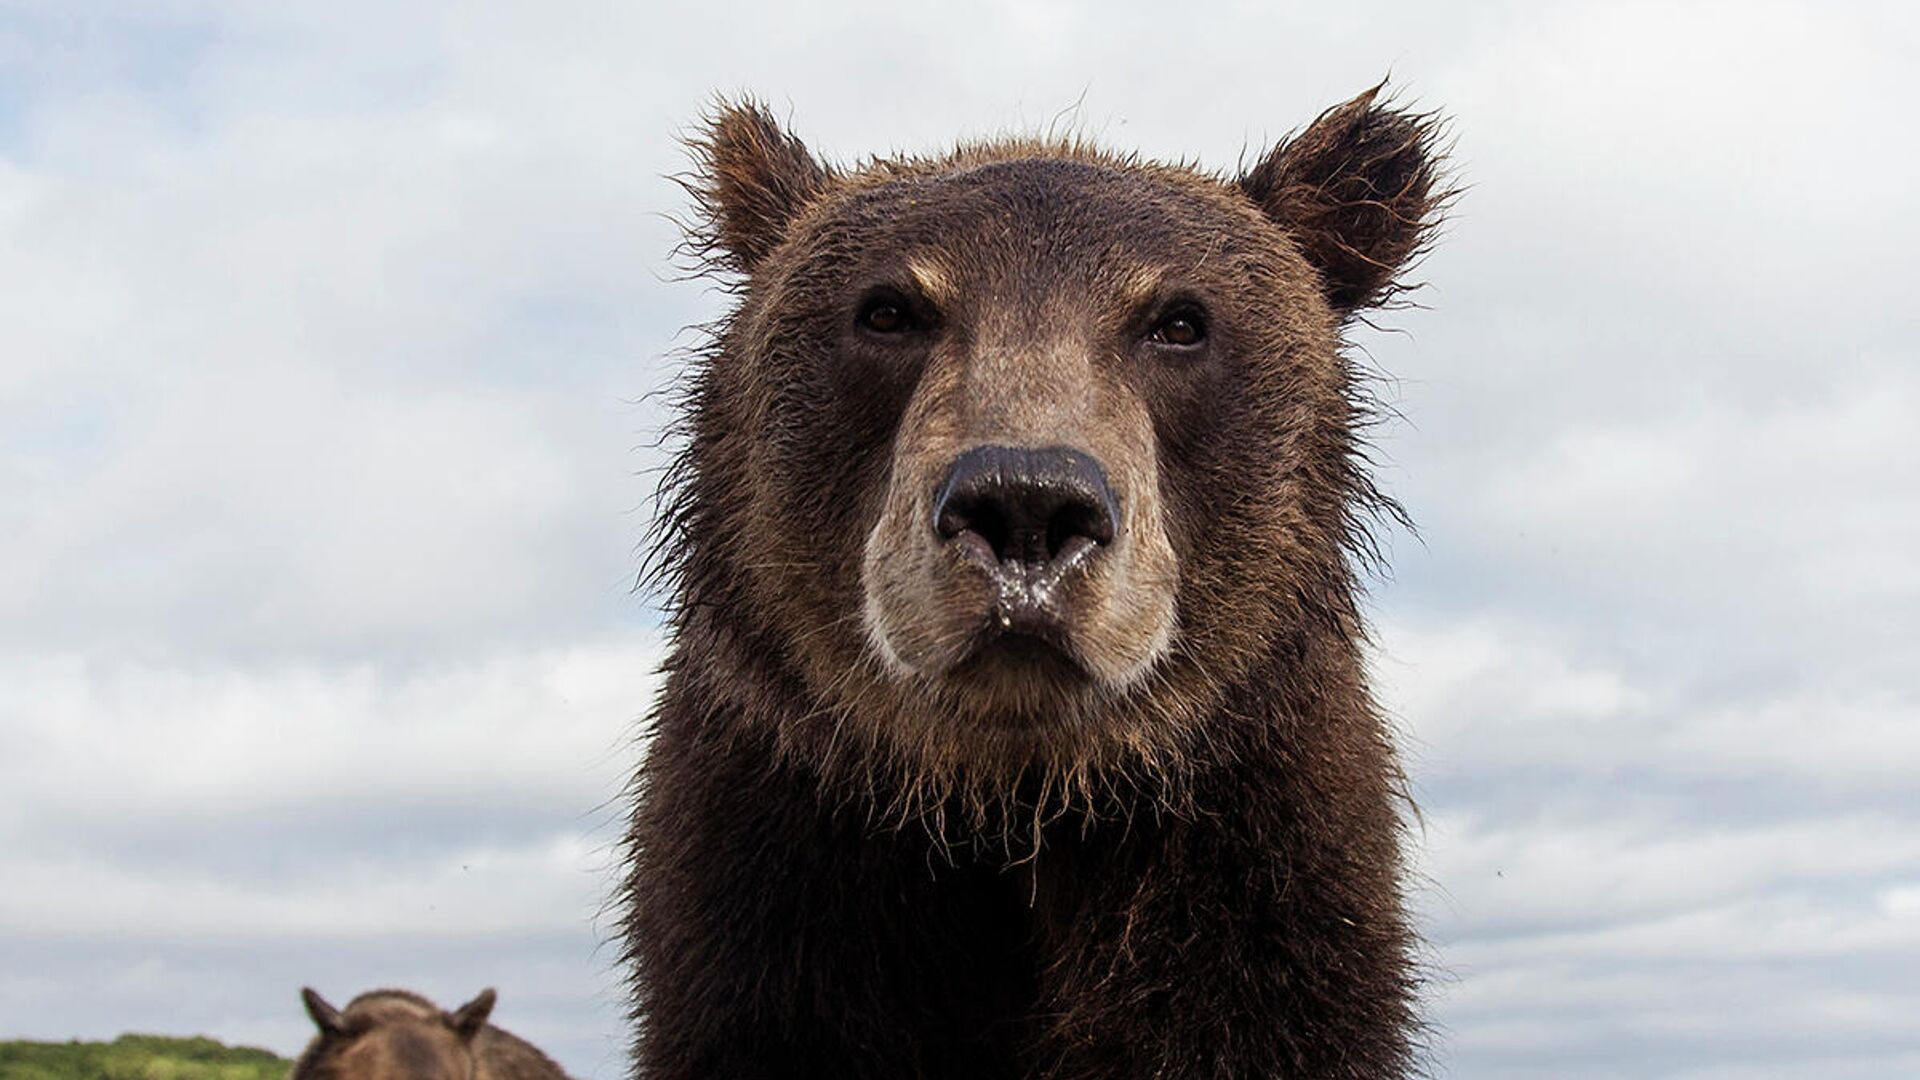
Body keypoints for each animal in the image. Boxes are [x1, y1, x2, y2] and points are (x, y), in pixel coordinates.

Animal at [622, 85, 1443, 1076]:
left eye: (1179, 320)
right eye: (888, 310)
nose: (1025, 506)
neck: (1019, 803)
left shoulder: (1261, 882)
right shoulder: (773, 880)